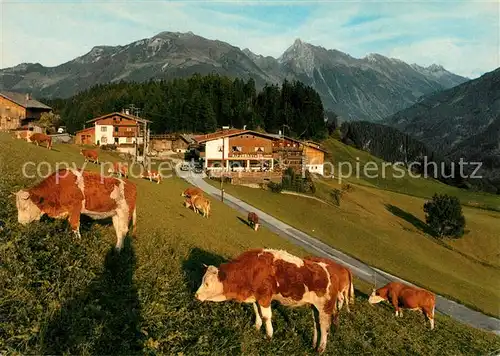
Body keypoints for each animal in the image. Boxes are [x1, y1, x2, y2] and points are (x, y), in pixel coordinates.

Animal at [193, 248, 342, 354]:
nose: (196, 295)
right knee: (317, 325)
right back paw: (313, 344)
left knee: (324, 327)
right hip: (315, 308)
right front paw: (256, 327)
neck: (253, 269)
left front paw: (269, 335)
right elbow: (257, 312)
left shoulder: (265, 296)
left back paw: (320, 349)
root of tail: (330, 270)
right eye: (202, 279)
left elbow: (266, 316)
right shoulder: (256, 297)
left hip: (325, 308)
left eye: (207, 283)